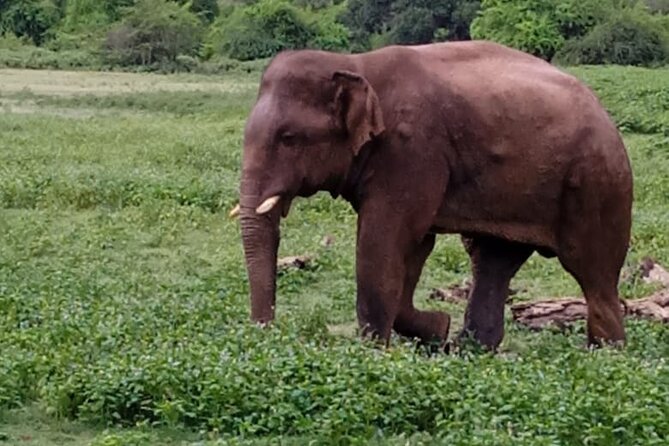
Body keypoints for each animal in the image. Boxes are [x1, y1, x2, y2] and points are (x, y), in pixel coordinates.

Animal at [234, 40, 633, 351]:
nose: (266, 333)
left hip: (596, 184)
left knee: (592, 270)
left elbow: (383, 240)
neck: (354, 63)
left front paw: (374, 351)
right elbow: (415, 246)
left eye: (288, 138)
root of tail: (607, 116)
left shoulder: (413, 149)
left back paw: (604, 356)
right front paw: (437, 330)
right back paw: (471, 350)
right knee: (492, 260)